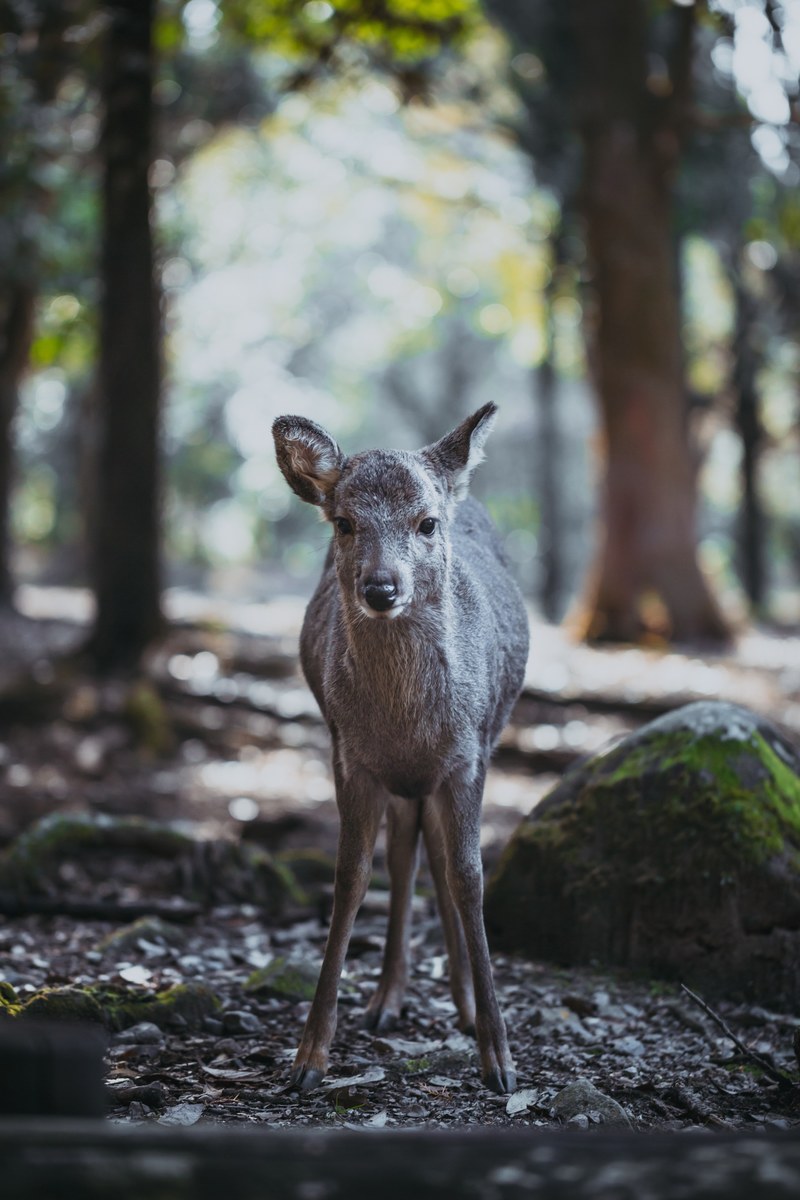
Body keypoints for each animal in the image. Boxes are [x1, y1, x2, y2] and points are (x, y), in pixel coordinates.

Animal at [272, 402, 529, 1094]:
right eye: (344, 522)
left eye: (426, 522)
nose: (381, 588)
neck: (407, 723)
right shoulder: (349, 754)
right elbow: (351, 877)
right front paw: (309, 1057)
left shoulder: (469, 754)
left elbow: (469, 876)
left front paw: (500, 1058)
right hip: (399, 781)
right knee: (408, 856)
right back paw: (387, 999)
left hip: (464, 755)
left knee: (437, 861)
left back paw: (461, 1005)